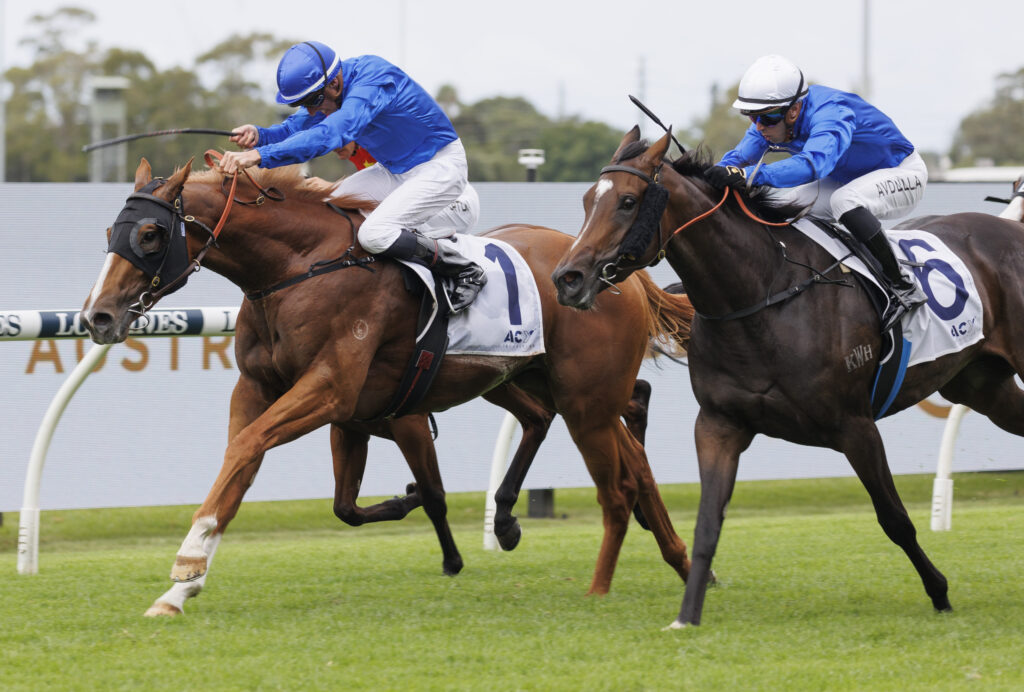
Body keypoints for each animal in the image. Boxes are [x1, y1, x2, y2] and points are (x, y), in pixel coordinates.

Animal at [80, 157, 696, 616]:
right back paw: (669, 558)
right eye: (110, 231)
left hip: (585, 394)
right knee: (585, 435)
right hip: (526, 379)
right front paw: (180, 590)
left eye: (152, 233)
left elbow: (247, 447)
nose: (98, 316)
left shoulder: (330, 389)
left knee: (622, 450)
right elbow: (298, 485)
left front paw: (187, 562)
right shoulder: (283, 395)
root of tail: (617, 272)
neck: (300, 267)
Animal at [551, 126, 1024, 627]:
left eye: (626, 201)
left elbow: (894, 518)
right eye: (587, 200)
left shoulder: (855, 426)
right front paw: (687, 615)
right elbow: (707, 524)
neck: (763, 295)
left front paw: (939, 591)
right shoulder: (719, 424)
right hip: (982, 385)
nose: (567, 278)